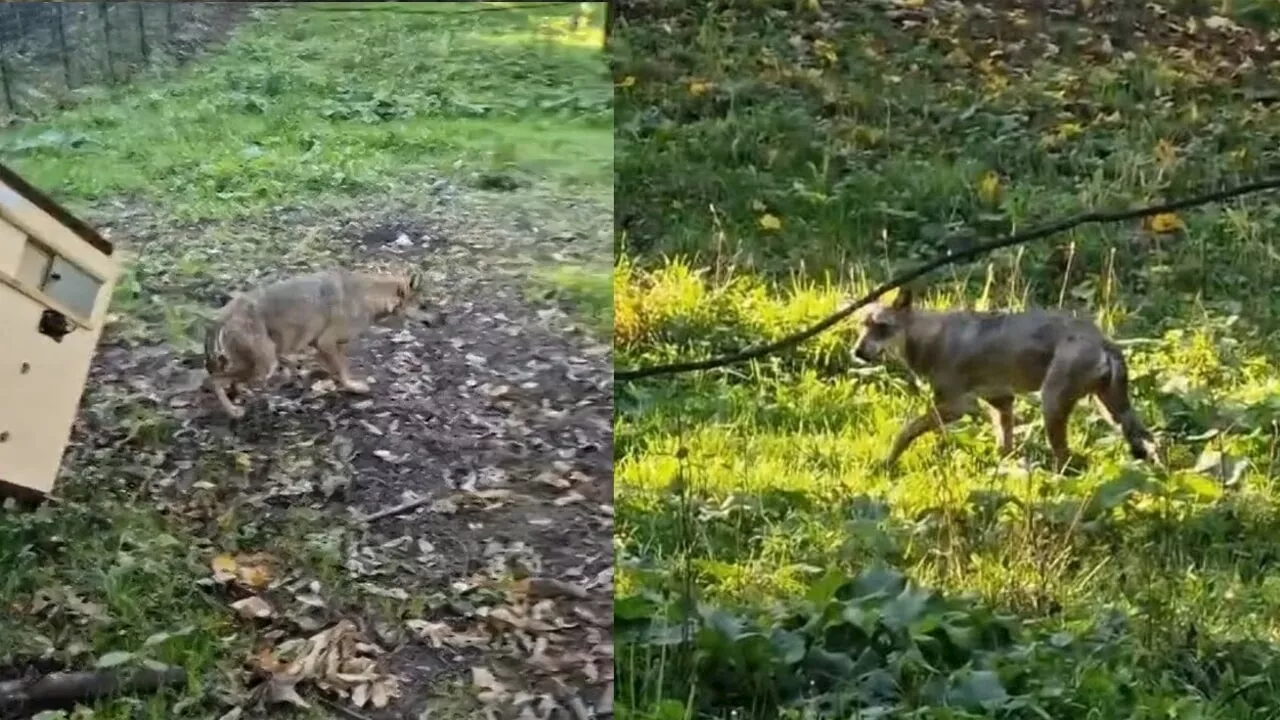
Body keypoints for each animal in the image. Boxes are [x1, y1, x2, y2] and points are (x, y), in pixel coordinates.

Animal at [204, 266, 424, 417]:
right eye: (424, 306)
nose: (437, 320)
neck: (369, 296)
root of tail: (224, 312)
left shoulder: (321, 344)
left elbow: (335, 370)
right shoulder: (327, 342)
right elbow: (342, 371)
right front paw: (352, 387)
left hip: (264, 358)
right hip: (264, 366)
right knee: (214, 379)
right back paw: (233, 410)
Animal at [849, 285, 1162, 471]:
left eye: (882, 327)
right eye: (862, 326)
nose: (857, 352)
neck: (928, 337)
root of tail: (1103, 340)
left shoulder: (957, 407)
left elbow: (905, 431)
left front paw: (887, 462)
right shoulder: (1002, 403)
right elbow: (1005, 448)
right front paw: (1003, 473)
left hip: (1053, 405)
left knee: (1068, 459)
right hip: (1115, 412)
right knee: (1153, 441)